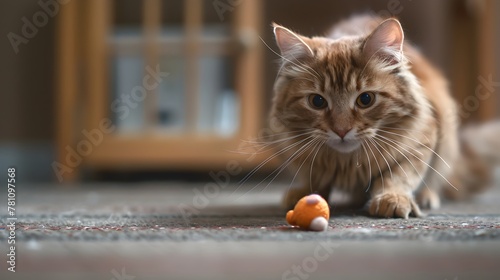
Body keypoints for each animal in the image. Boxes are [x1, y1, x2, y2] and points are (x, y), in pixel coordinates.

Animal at [268, 14, 490, 219]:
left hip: (447, 142)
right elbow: (313, 177)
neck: (349, 164)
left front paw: (392, 198)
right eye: (317, 101)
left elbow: (400, 175)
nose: (341, 130)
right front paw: (305, 193)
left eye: (365, 99)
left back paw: (427, 197)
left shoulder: (421, 141)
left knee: (436, 181)